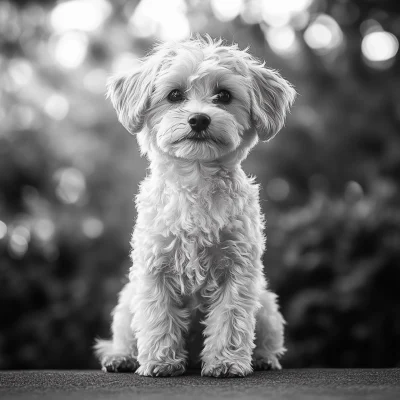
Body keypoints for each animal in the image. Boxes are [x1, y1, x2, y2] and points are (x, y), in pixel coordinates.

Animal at [95, 36, 296, 376]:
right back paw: (121, 357)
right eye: (175, 95)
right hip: (125, 304)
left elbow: (231, 318)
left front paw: (226, 362)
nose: (199, 118)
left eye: (224, 95)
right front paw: (161, 361)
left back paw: (264, 359)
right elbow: (158, 317)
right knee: (123, 338)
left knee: (268, 339)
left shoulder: (238, 269)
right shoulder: (155, 268)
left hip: (267, 304)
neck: (196, 178)